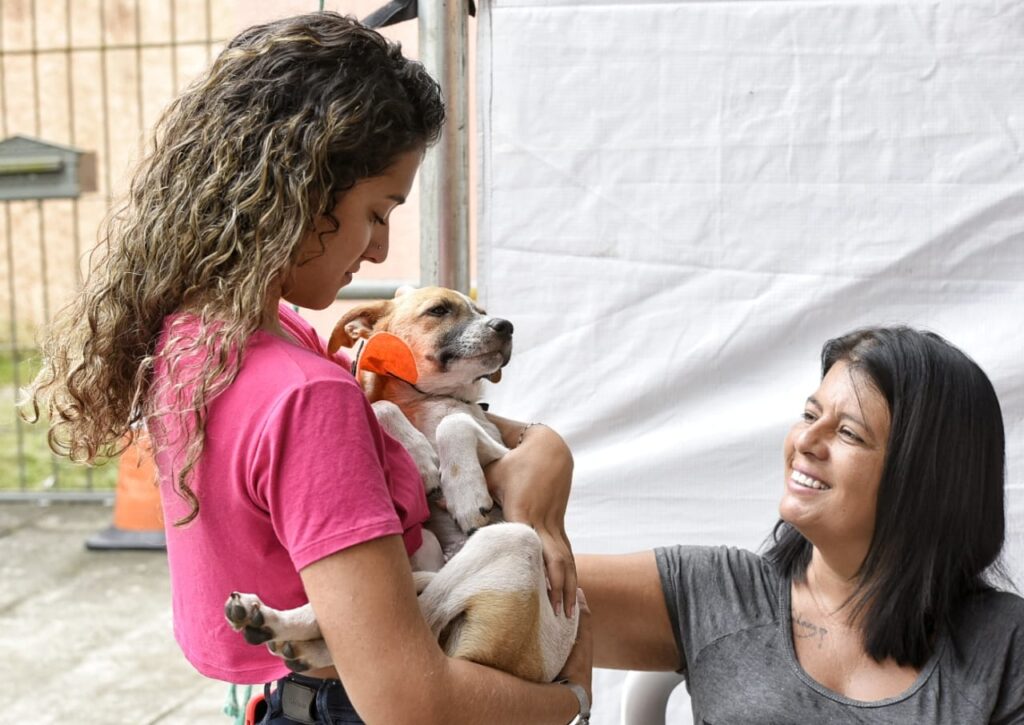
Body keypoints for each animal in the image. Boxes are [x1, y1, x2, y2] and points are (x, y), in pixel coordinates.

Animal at [225, 286, 577, 684]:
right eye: (439, 310)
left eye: (482, 311)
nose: (505, 326)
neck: (424, 398)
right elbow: (380, 407)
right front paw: (421, 459)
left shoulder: (501, 450)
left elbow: (454, 422)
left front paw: (463, 493)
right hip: (433, 546)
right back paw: (268, 622)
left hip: (510, 540)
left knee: (415, 618)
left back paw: (277, 627)